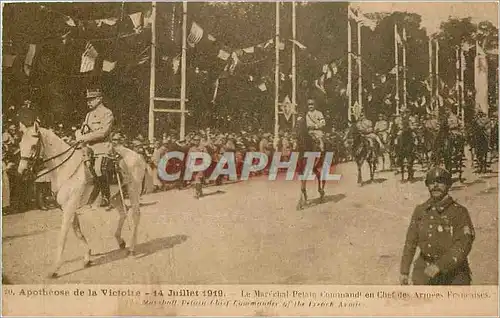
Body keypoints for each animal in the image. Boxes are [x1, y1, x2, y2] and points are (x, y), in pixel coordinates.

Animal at [17, 121, 152, 278]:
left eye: (33, 146)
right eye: (20, 144)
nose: (22, 172)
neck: (65, 167)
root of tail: (139, 155)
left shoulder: (70, 207)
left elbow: (63, 235)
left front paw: (55, 268)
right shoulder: (68, 207)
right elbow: (77, 231)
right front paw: (87, 256)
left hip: (133, 190)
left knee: (135, 216)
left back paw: (132, 248)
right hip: (115, 195)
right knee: (123, 213)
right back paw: (120, 240)